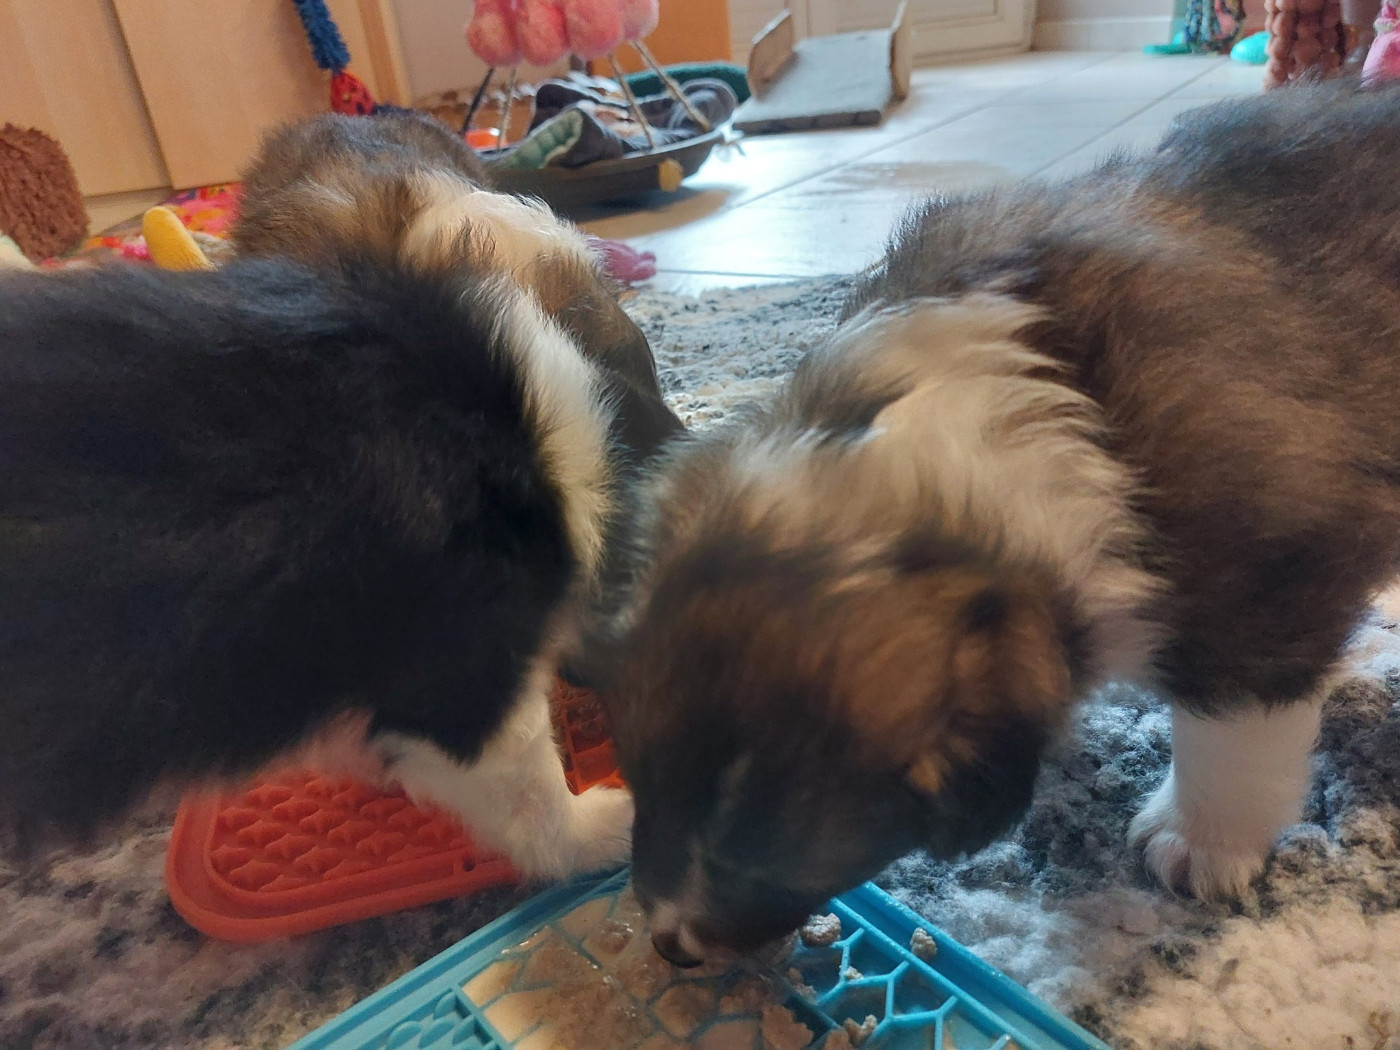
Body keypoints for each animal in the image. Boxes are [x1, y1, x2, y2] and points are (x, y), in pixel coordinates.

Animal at [584, 80, 1400, 966]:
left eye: (775, 857)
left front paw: (1200, 840)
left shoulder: (1262, 587)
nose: (670, 944)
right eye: (640, 782)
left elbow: (1233, 733)